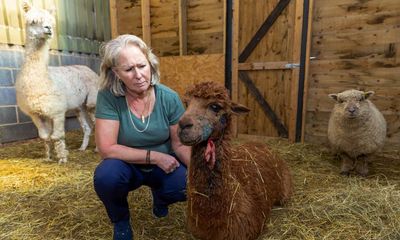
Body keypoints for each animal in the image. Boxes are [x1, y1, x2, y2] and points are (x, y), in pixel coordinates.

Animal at [16, 0, 99, 163]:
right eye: (33, 21)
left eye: (50, 22)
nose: (48, 29)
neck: (42, 80)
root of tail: (90, 70)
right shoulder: (37, 113)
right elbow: (45, 136)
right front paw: (48, 157)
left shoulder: (58, 111)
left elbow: (57, 136)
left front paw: (62, 159)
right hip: (78, 105)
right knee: (87, 127)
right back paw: (82, 148)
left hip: (92, 101)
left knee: (96, 122)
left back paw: (97, 149)